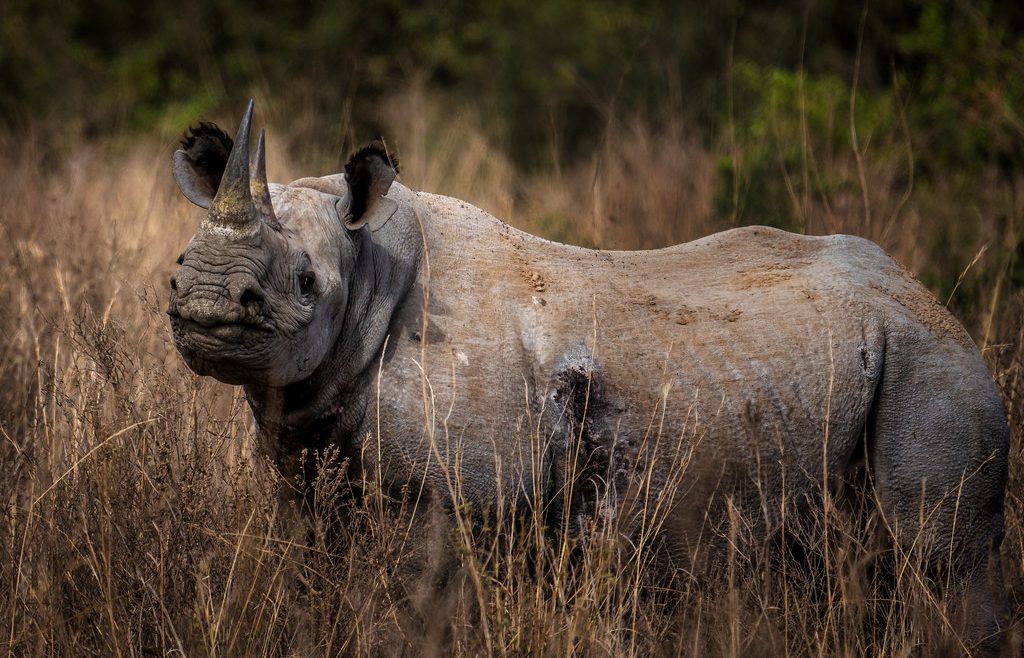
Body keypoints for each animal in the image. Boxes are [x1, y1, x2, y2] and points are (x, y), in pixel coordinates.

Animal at [168, 102, 1009, 652]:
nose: (205, 304)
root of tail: (923, 294)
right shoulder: (312, 466)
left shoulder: (448, 497)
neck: (368, 267)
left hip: (933, 365)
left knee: (941, 561)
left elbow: (407, 609)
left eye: (307, 283)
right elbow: (321, 584)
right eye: (178, 263)